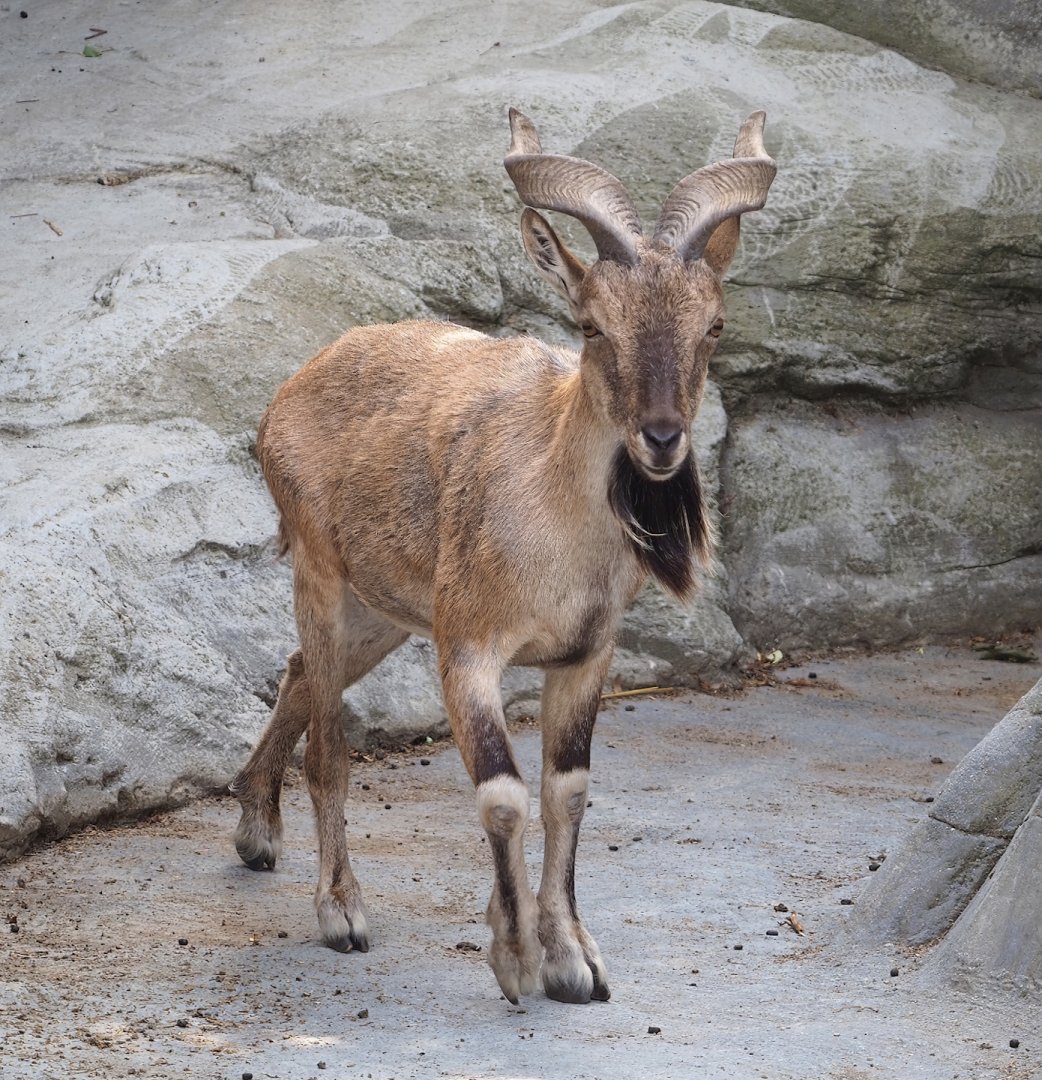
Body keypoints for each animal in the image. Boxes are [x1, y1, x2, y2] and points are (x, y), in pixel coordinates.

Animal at [230, 108, 776, 1004]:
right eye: (592, 324)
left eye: (714, 327)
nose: (661, 440)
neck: (552, 527)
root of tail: (297, 384)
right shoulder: (469, 652)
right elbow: (503, 795)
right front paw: (517, 956)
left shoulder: (584, 657)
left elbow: (566, 793)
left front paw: (574, 957)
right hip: (322, 576)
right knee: (329, 746)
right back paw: (339, 908)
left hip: (385, 611)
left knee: (300, 672)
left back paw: (253, 825)